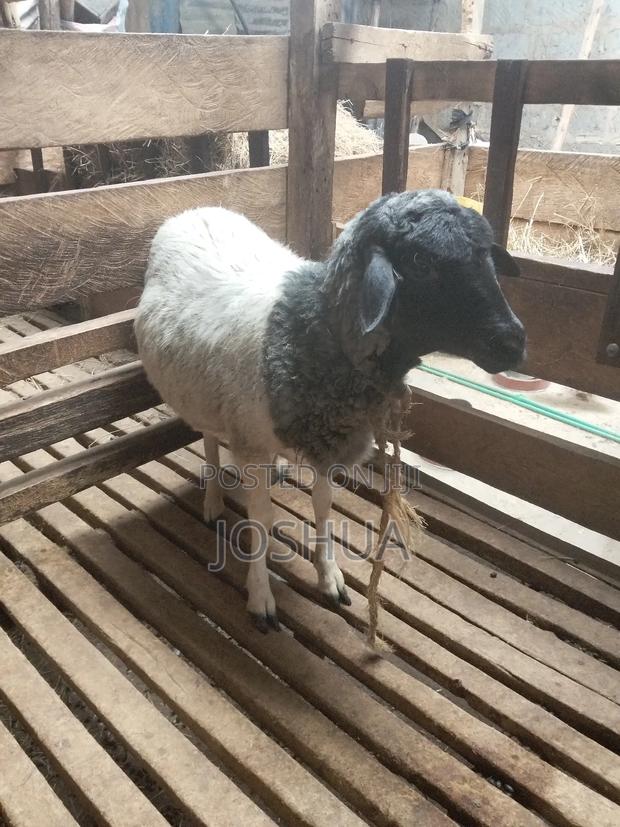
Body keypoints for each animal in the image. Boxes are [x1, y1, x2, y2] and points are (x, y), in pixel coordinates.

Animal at [135, 189, 526, 631]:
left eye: (487, 254)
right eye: (420, 261)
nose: (513, 342)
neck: (310, 330)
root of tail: (196, 210)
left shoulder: (328, 439)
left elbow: (323, 507)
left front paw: (330, 576)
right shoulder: (251, 443)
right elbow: (260, 519)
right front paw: (260, 596)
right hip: (202, 398)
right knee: (209, 441)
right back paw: (214, 500)